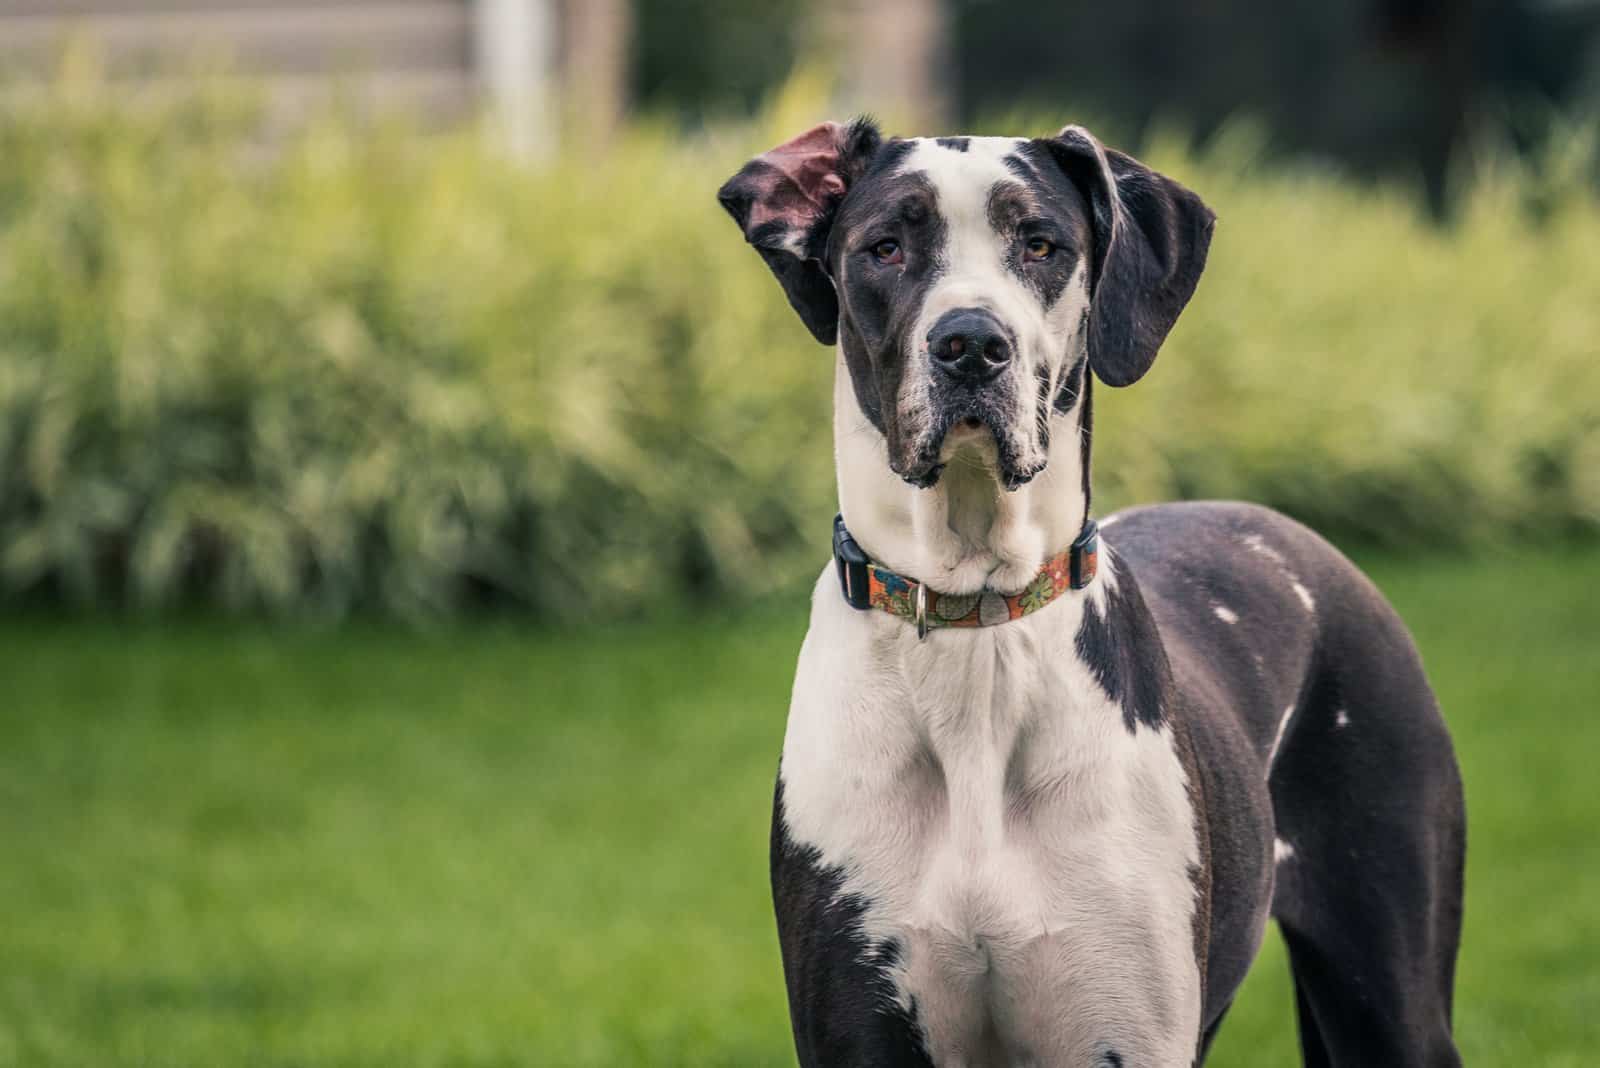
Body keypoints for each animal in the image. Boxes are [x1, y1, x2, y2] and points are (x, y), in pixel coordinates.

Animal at [720, 120, 1465, 1061]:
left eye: (1041, 244)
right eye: (885, 247)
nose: (971, 344)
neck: (976, 628)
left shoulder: (1126, 1029)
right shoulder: (858, 1028)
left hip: (1392, 991)